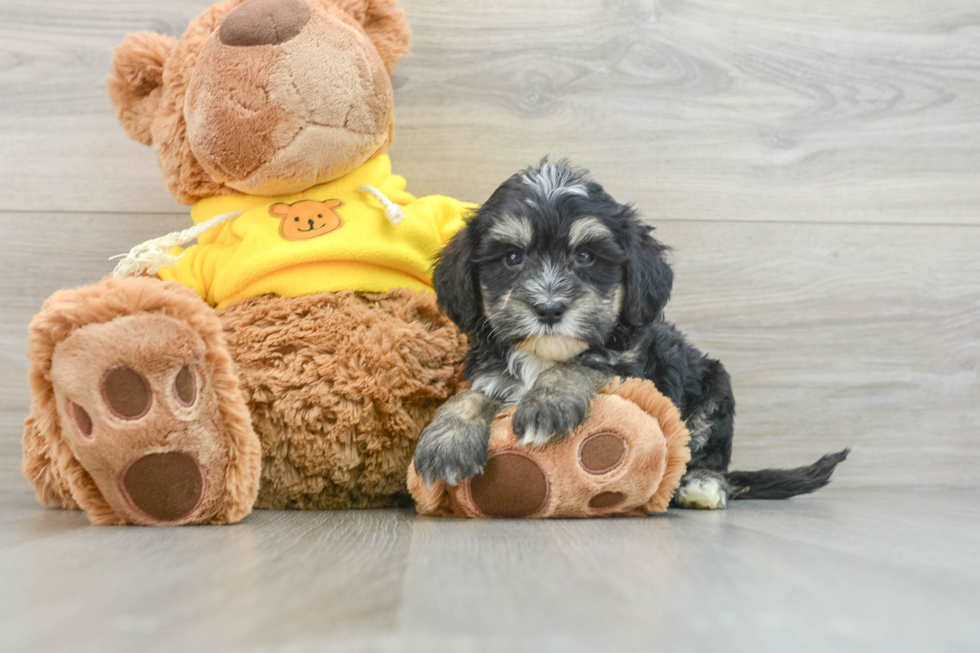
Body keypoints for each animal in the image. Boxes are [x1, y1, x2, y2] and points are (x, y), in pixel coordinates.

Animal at [412, 159, 844, 510]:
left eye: (586, 256)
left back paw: (702, 487)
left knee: (710, 455)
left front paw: (548, 402)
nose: (549, 308)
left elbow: (586, 362)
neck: (544, 355)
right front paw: (446, 439)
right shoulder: (490, 371)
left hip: (714, 389)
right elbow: (471, 395)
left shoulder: (635, 367)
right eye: (512, 258)